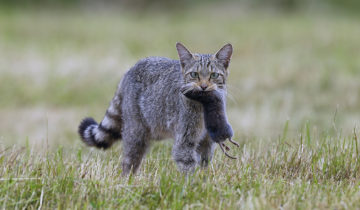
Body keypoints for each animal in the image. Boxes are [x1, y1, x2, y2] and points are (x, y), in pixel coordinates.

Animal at [78, 41, 233, 175]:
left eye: (214, 75)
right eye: (194, 74)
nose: (204, 86)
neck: (203, 106)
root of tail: (129, 71)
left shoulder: (207, 142)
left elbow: (204, 163)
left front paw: (204, 179)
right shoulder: (185, 140)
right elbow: (187, 163)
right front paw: (191, 184)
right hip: (136, 133)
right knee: (129, 162)